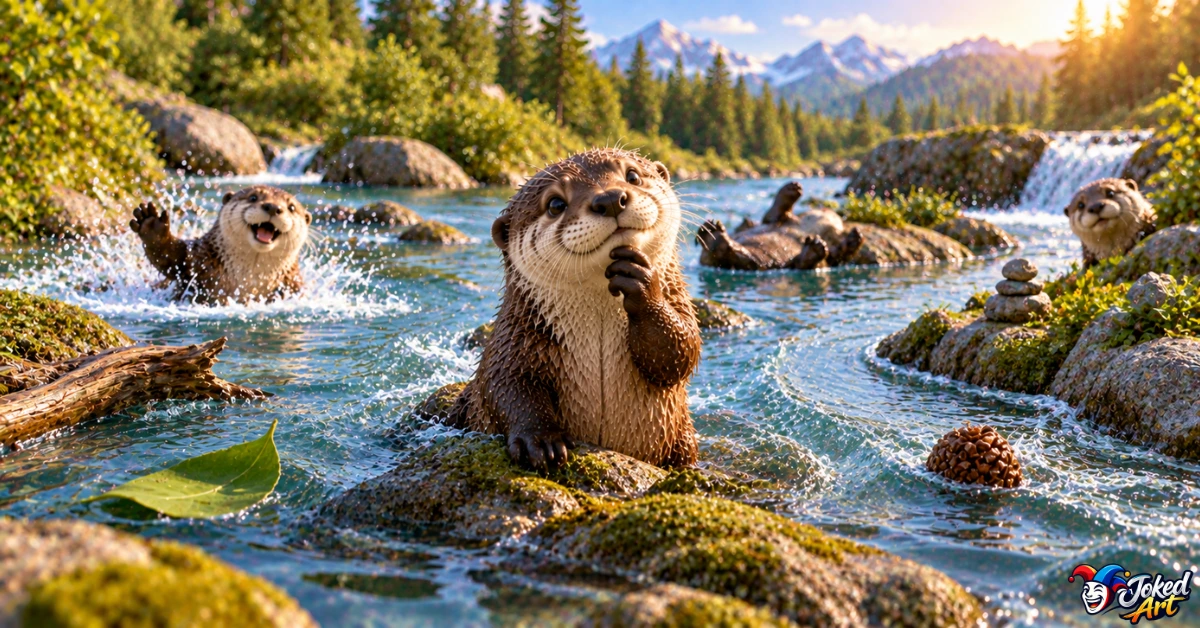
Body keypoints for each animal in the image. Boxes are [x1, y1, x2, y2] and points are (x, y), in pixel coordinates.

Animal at [129, 185, 311, 304]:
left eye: (291, 207)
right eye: (253, 197)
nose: (273, 207)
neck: (248, 281)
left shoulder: (293, 284)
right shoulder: (197, 259)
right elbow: (171, 259)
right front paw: (151, 224)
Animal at [446, 148, 702, 471]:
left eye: (632, 175)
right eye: (555, 204)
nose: (610, 198)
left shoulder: (680, 304)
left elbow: (681, 349)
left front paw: (641, 283)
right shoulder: (514, 337)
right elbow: (503, 382)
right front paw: (540, 441)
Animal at [696, 181, 864, 271]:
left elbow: (838, 253)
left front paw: (855, 238)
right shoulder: (778, 218)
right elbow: (775, 212)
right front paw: (792, 188)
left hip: (762, 260)